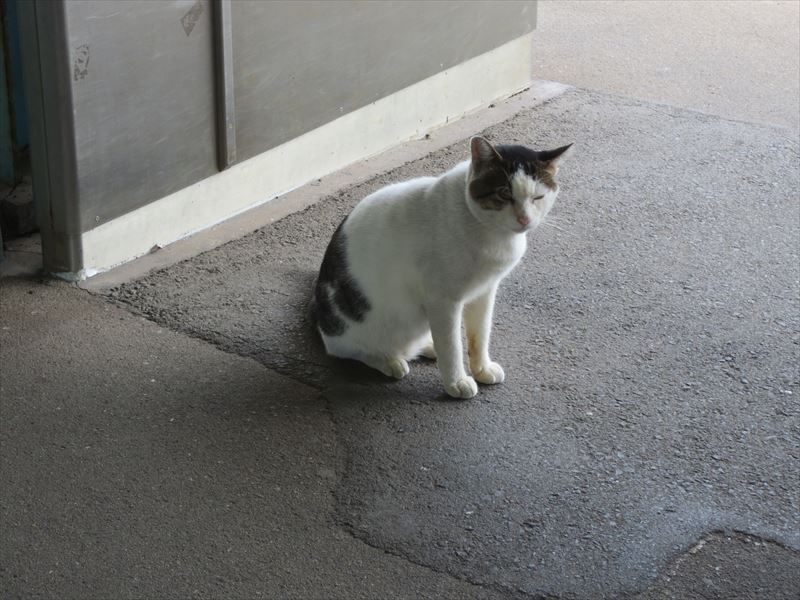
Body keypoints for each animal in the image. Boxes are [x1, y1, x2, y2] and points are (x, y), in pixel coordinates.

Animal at [312, 136, 572, 398]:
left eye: (538, 197)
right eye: (504, 193)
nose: (524, 219)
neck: (492, 234)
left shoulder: (485, 290)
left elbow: (480, 334)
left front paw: (482, 368)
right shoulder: (443, 300)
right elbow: (451, 345)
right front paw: (457, 382)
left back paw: (426, 346)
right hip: (352, 329)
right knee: (350, 350)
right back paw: (390, 361)